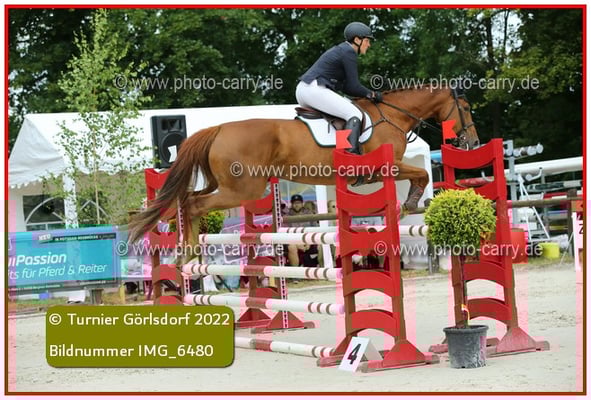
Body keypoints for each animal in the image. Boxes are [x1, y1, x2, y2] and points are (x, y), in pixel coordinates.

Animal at [129, 86, 479, 243]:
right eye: (465, 108)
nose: (473, 144)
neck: (393, 115)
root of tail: (219, 128)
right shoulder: (386, 167)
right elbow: (420, 173)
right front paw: (409, 203)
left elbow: (418, 174)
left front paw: (409, 203)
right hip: (242, 188)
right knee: (194, 204)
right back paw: (188, 254)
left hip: (225, 184)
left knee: (188, 199)